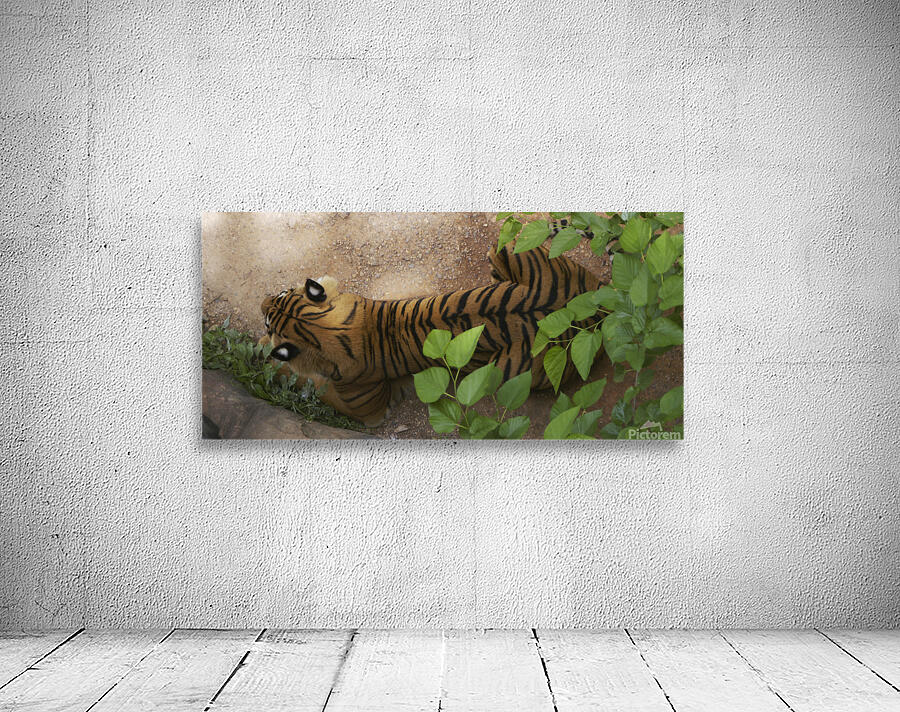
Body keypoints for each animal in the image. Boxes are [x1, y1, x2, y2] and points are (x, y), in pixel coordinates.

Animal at [259, 242, 604, 426]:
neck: (324, 326)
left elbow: (312, 386)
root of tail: (593, 310)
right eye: (279, 294)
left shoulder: (366, 409)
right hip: (509, 249)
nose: (261, 302)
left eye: (267, 319)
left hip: (512, 370)